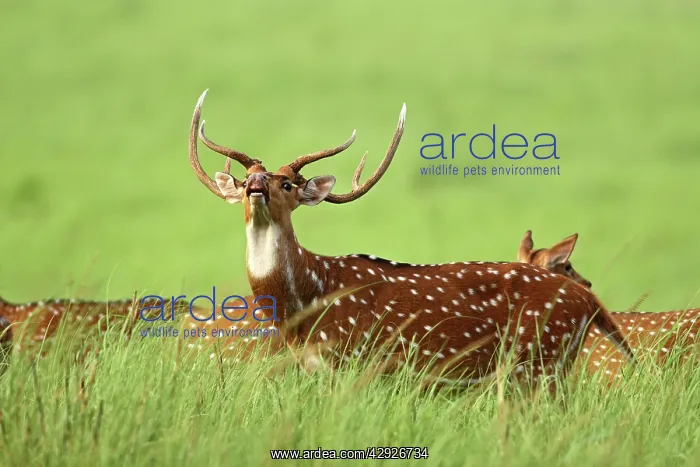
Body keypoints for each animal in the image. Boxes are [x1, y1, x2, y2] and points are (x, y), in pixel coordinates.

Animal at [186, 89, 636, 392]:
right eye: (246, 178)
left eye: (288, 184)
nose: (256, 185)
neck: (307, 304)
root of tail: (589, 300)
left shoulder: (360, 361)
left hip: (541, 361)